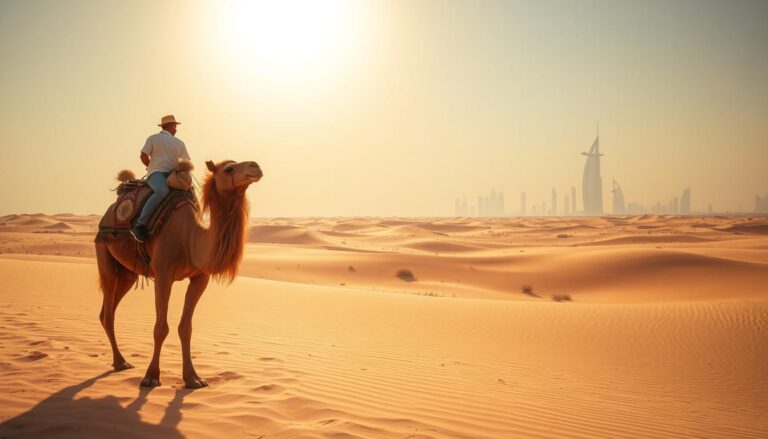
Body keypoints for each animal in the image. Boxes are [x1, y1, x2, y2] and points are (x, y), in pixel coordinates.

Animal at [95, 160, 262, 388]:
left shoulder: (200, 278)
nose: (255, 166)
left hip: (127, 275)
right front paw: (151, 376)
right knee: (108, 310)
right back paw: (120, 362)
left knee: (108, 309)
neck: (189, 239)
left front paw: (193, 378)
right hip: (104, 254)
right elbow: (160, 328)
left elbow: (186, 327)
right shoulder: (163, 275)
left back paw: (121, 361)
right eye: (229, 169)